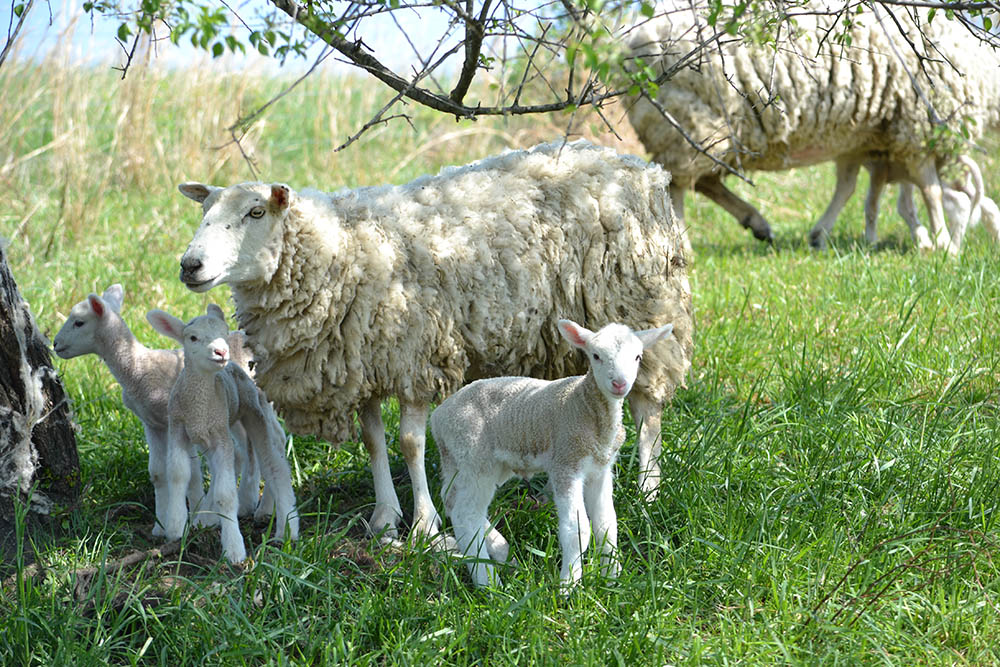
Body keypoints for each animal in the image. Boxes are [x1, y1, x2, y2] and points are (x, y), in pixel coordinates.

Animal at [51, 284, 264, 536]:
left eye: (79, 322)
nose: (55, 344)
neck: (139, 368)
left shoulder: (176, 422)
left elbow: (192, 476)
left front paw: (195, 520)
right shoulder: (152, 424)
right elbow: (158, 473)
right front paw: (160, 526)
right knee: (245, 452)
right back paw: (246, 502)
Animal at [146, 304, 298, 564]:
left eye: (224, 334)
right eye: (193, 337)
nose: (221, 351)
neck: (199, 405)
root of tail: (236, 366)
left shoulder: (219, 434)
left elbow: (226, 494)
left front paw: (234, 550)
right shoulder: (178, 428)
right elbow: (177, 474)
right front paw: (176, 525)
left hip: (253, 412)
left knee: (273, 464)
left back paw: (286, 529)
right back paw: (207, 517)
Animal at [172, 140, 692, 544]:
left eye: (256, 211)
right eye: (204, 212)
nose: (190, 265)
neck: (343, 253)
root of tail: (639, 166)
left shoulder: (416, 357)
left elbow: (410, 443)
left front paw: (423, 522)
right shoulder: (364, 363)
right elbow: (374, 442)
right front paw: (385, 518)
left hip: (642, 304)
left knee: (647, 411)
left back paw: (648, 490)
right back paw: (550, 491)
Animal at [430, 320, 672, 588]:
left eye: (638, 357)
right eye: (596, 356)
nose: (619, 384)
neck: (585, 406)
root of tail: (438, 417)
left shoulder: (600, 469)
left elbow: (607, 524)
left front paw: (612, 577)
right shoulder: (566, 462)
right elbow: (577, 530)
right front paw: (569, 583)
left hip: (462, 459)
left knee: (451, 500)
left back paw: (501, 550)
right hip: (475, 457)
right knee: (466, 513)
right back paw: (487, 581)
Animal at [624, 0, 1000, 254]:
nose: (963, 250)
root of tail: (636, 39)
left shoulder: (864, 139)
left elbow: (854, 188)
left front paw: (823, 235)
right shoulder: (919, 126)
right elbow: (932, 191)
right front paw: (941, 243)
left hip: (699, 129)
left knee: (702, 181)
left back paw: (757, 223)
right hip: (691, 121)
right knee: (678, 183)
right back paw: (683, 240)